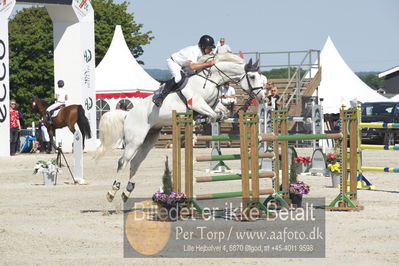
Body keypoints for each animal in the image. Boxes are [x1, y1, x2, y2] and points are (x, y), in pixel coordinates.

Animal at [95, 53, 268, 202]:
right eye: (252, 77)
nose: (262, 97)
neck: (211, 80)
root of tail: (127, 114)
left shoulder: (212, 103)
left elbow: (221, 111)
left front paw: (209, 119)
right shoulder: (197, 103)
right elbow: (213, 114)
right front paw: (202, 121)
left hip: (149, 139)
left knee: (135, 162)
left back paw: (127, 192)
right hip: (134, 140)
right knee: (123, 162)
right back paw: (112, 192)